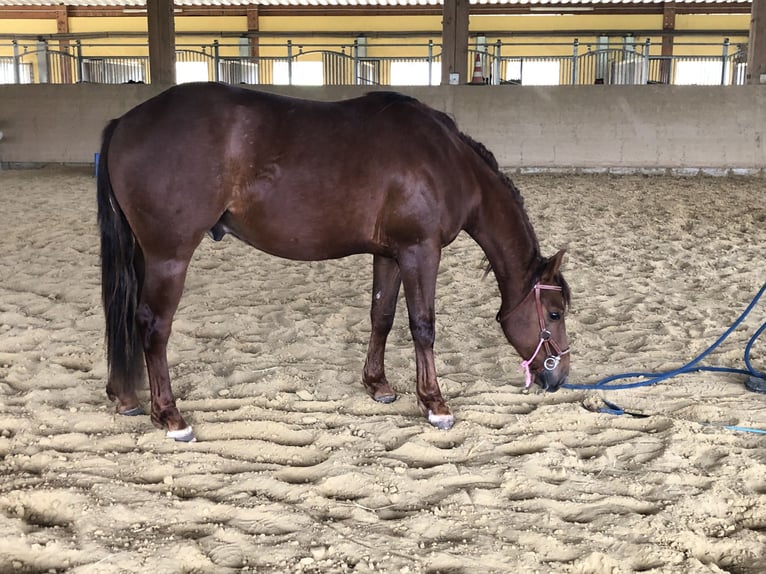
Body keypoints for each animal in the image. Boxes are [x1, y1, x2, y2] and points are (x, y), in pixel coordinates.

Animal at [97, 82, 568, 440]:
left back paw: (127, 397)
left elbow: (382, 316)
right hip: (169, 256)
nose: (559, 376)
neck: (446, 160)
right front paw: (435, 404)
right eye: (555, 313)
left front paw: (378, 385)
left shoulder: (390, 255)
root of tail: (124, 123)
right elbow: (423, 326)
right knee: (153, 325)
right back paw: (170, 415)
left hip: (145, 255)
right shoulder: (420, 251)